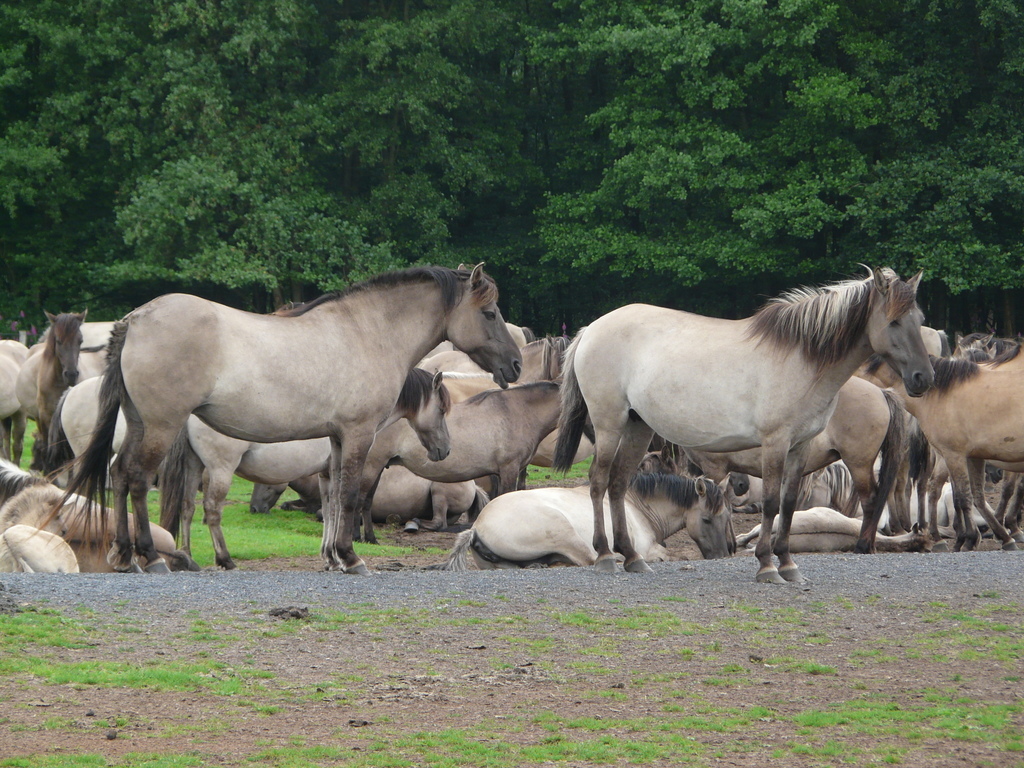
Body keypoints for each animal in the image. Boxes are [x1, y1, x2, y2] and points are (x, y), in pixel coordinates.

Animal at [156, 366, 452, 573]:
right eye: (442, 409)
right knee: (212, 510)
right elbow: (338, 507)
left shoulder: (325, 473)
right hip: (220, 469)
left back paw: (188, 557)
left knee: (187, 507)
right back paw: (225, 559)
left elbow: (329, 508)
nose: (445, 450)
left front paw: (330, 557)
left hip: (194, 466)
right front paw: (340, 557)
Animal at [442, 473, 737, 573]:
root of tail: (476, 527)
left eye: (727, 517)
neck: (634, 503)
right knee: (587, 559)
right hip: (564, 532)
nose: (722, 556)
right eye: (707, 519)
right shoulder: (648, 547)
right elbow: (666, 554)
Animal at [557, 270, 933, 581]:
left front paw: (788, 564)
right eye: (894, 322)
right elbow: (769, 503)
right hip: (609, 425)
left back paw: (632, 557)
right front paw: (767, 565)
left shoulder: (799, 446)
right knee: (599, 481)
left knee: (619, 484)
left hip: (637, 427)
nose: (922, 378)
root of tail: (591, 329)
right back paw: (605, 555)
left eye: (920, 319)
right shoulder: (774, 444)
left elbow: (788, 503)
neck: (801, 360)